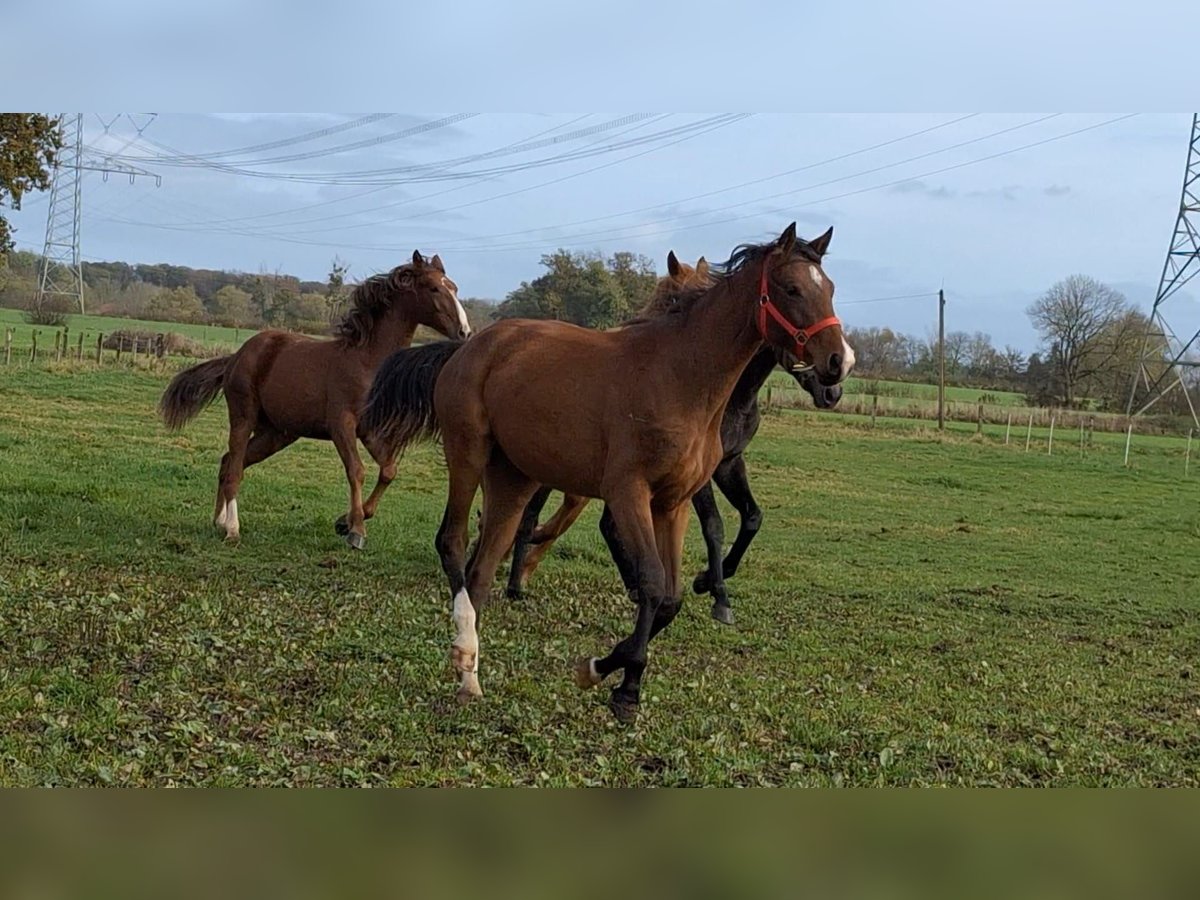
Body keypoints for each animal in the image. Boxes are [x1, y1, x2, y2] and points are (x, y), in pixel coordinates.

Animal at [162, 252, 470, 549]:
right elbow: (356, 471)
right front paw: (356, 531)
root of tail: (236, 356)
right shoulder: (341, 425)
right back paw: (232, 529)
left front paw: (345, 522)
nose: (465, 332)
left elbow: (389, 470)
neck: (366, 362)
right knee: (235, 468)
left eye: (455, 287)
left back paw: (219, 521)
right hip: (243, 417)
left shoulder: (369, 431)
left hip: (276, 434)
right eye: (433, 288)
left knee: (228, 463)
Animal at [364, 225, 854, 724]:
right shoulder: (628, 494)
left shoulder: (673, 503)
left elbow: (672, 597)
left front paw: (603, 668)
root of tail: (468, 345)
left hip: (514, 478)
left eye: (830, 289)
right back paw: (464, 646)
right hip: (467, 455)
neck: (680, 379)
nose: (839, 363)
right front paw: (624, 687)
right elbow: (653, 582)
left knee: (483, 567)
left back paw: (471, 678)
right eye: (791, 288)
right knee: (453, 541)